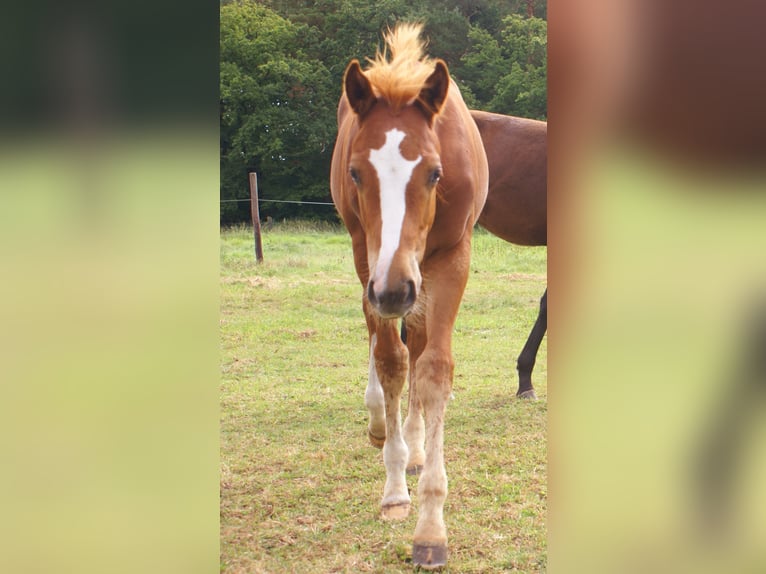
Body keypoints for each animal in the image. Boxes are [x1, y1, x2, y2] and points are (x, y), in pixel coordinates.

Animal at [330, 23, 489, 570]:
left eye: (435, 173)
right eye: (356, 172)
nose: (395, 289)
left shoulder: (450, 261)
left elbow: (433, 370)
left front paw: (431, 528)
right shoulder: (371, 265)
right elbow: (390, 360)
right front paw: (395, 491)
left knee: (417, 347)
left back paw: (418, 447)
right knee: (383, 347)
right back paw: (382, 423)